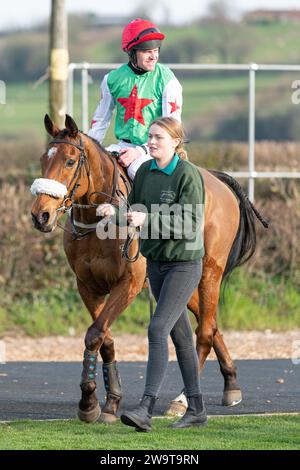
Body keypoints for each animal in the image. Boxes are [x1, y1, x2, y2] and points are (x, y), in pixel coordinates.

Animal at [30, 115, 268, 424]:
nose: (41, 215)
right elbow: (104, 338)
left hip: (210, 272)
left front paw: (90, 402)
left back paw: (182, 399)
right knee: (211, 325)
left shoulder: (128, 283)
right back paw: (231, 383)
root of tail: (219, 180)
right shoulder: (87, 286)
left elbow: (95, 333)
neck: (98, 224)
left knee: (204, 331)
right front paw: (107, 400)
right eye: (42, 160)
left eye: (70, 161)